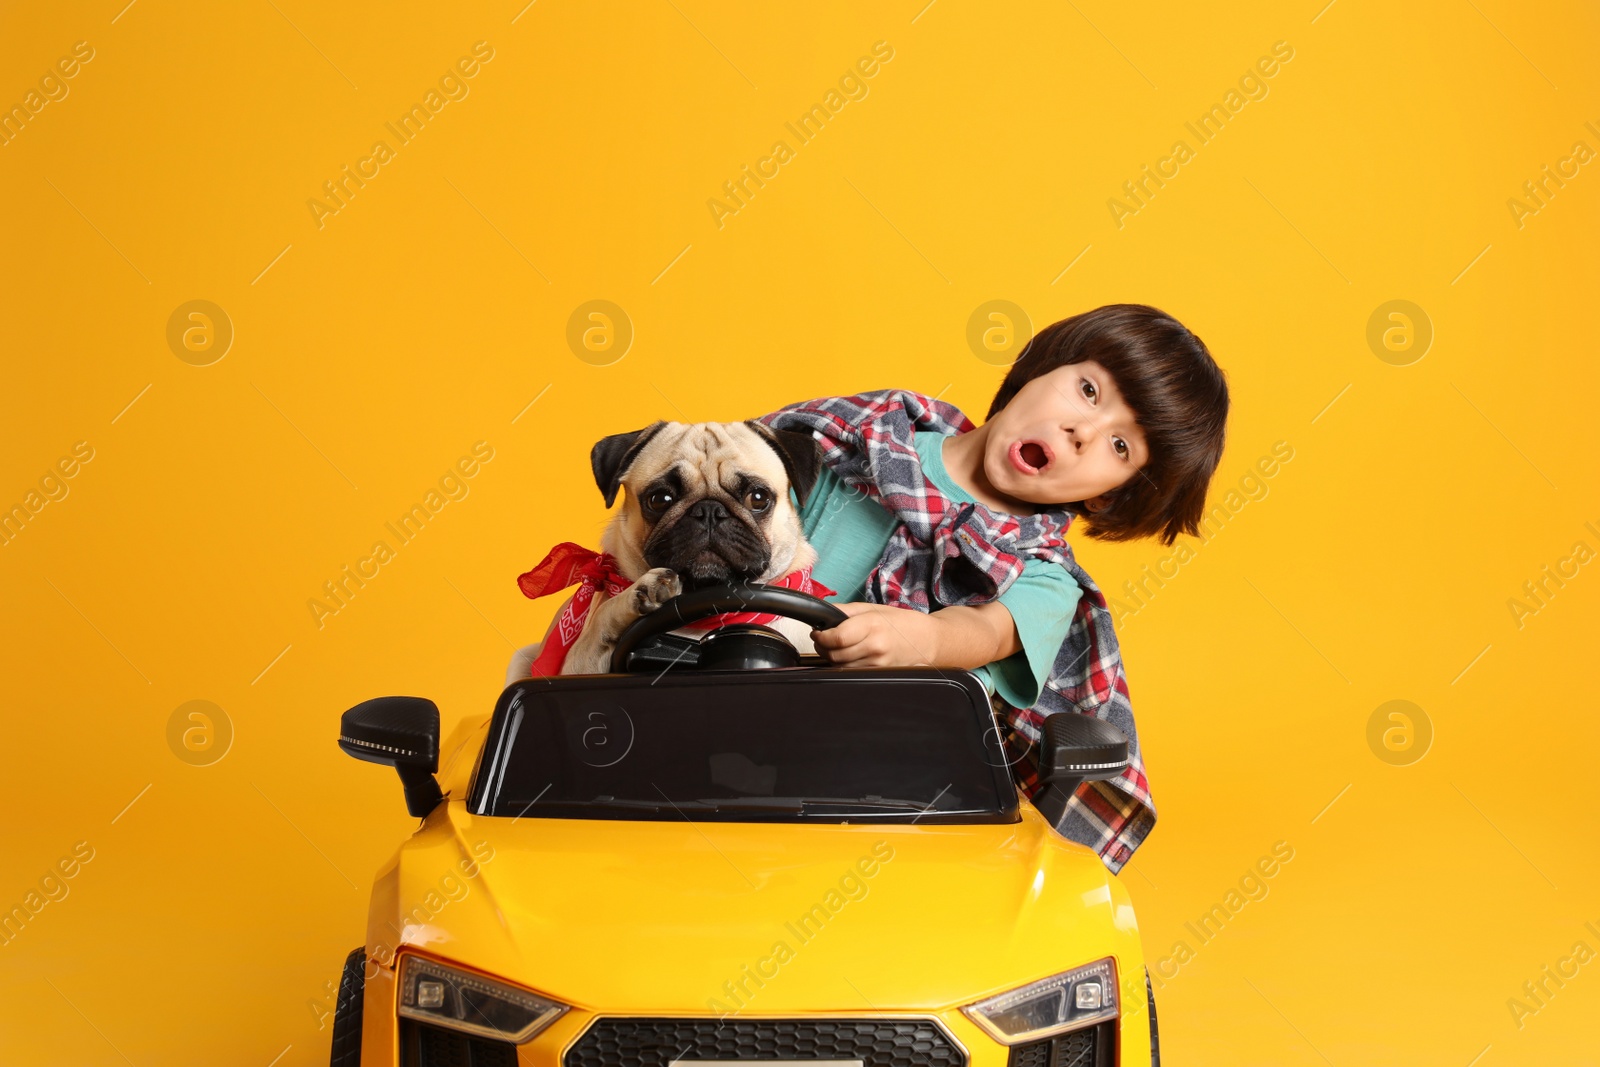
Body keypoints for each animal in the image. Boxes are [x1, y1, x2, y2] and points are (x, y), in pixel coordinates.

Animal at [505, 422, 832, 681]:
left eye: (758, 498)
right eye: (660, 499)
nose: (709, 510)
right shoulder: (577, 666)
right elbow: (605, 616)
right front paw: (642, 591)